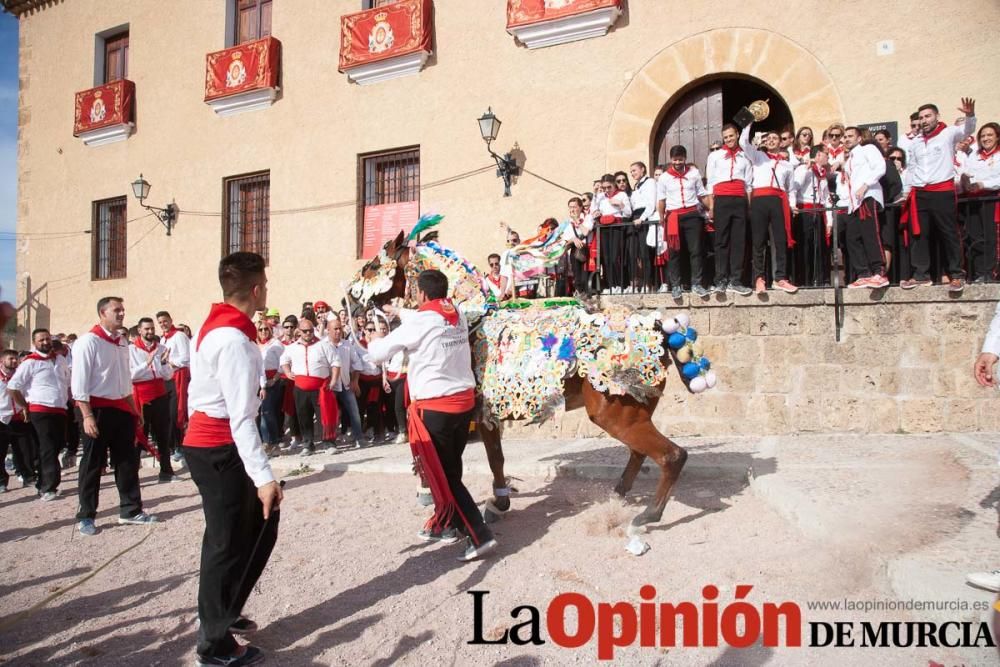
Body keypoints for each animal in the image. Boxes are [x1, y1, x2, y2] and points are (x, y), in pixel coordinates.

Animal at [348, 217, 716, 528]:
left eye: (371, 266)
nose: (348, 300)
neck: (468, 317)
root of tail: (656, 325)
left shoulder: (467, 415)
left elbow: (468, 457)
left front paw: (466, 500)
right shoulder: (483, 415)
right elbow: (494, 458)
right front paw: (498, 501)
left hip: (616, 414)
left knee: (671, 456)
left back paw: (648, 515)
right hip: (633, 412)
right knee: (641, 453)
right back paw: (618, 496)